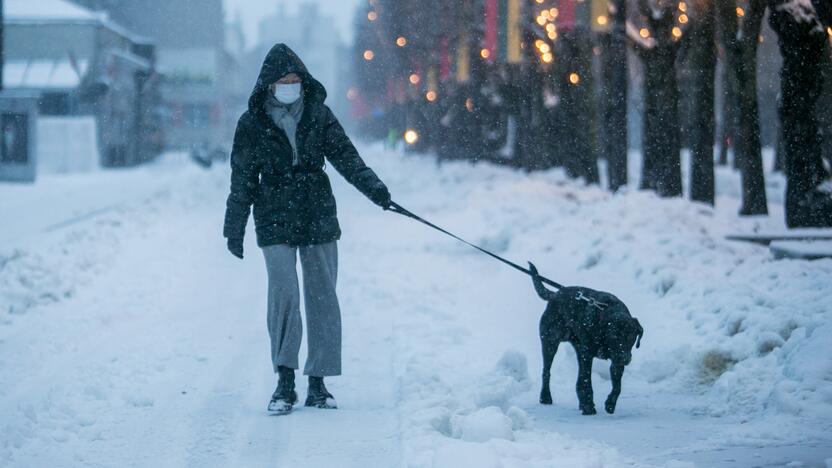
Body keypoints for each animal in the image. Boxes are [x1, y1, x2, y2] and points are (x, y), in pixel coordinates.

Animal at [528, 264, 640, 416]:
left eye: (631, 337)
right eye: (614, 337)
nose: (625, 358)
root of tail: (555, 294)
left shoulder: (615, 361)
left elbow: (617, 386)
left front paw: (610, 403)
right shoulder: (588, 354)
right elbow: (587, 381)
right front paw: (588, 407)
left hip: (577, 347)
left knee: (578, 379)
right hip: (550, 341)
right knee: (547, 371)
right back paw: (545, 397)